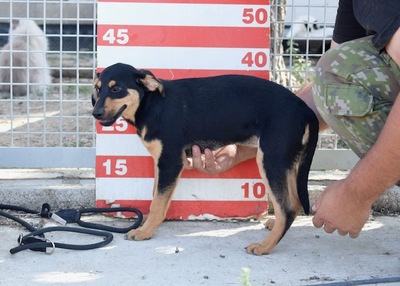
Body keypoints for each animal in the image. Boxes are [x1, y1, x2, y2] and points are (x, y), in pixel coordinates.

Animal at [91, 62, 318, 255]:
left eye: (116, 89)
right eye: (98, 89)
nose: (96, 113)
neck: (152, 104)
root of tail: (305, 109)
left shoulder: (170, 162)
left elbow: (158, 202)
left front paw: (145, 231)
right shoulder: (161, 162)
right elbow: (156, 195)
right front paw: (146, 222)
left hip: (271, 160)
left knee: (287, 208)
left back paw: (265, 246)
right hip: (285, 162)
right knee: (294, 202)